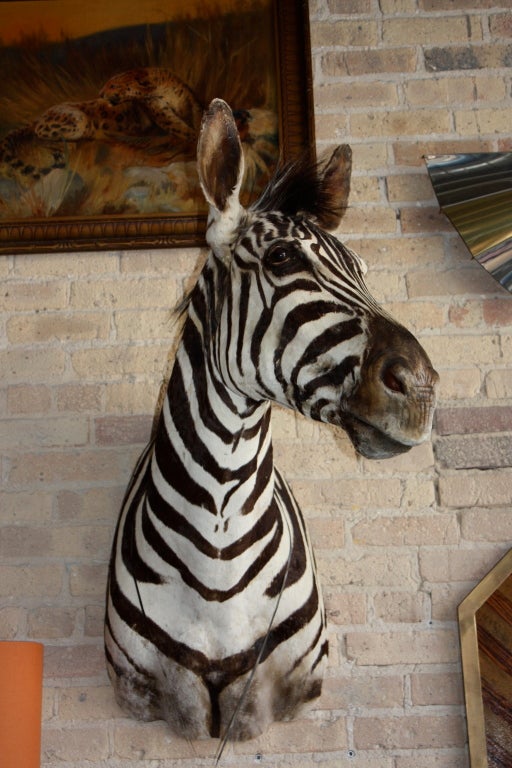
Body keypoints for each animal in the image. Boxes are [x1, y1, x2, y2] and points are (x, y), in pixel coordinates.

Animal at [105, 98, 439, 743]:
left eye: (362, 269)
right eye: (282, 258)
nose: (421, 387)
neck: (218, 537)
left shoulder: (267, 687)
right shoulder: (171, 691)